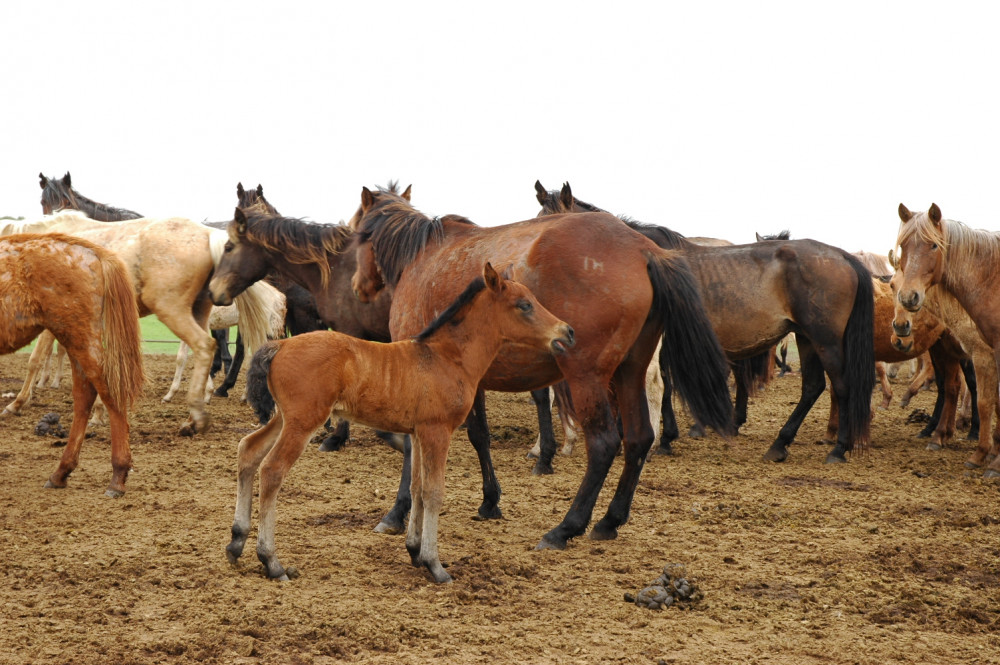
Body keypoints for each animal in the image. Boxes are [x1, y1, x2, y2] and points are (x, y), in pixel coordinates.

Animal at [0, 231, 145, 496]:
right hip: (74, 342)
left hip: (80, 339)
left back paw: (117, 477)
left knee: (109, 394)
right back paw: (61, 473)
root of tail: (92, 253)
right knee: (84, 397)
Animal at [1, 210, 276, 434]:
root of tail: (208, 234)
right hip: (198, 312)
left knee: (205, 347)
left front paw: (17, 403)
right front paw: (99, 411)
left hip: (171, 310)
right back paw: (192, 415)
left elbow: (35, 360)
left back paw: (196, 414)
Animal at [224, 262, 576, 580]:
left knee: (248, 450)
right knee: (272, 470)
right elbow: (434, 491)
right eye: (524, 305)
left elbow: (417, 487)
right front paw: (435, 565)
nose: (568, 332)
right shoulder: (438, 430)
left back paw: (236, 541)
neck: (447, 358)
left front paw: (415, 551)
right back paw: (271, 561)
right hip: (302, 421)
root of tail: (279, 344)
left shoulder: (418, 432)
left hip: (285, 417)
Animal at [352, 184, 736, 548]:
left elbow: (413, 448)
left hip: (587, 377)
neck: (423, 257)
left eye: (357, 234)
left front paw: (397, 512)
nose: (357, 286)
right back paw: (609, 521)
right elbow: (479, 436)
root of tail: (643, 249)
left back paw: (566, 528)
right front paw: (490, 501)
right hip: (629, 372)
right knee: (639, 438)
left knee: (604, 444)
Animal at [532, 180, 876, 462]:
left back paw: (838, 448)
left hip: (825, 339)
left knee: (840, 385)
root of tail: (843, 256)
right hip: (805, 336)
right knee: (813, 387)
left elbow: (660, 386)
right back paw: (780, 445)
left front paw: (660, 438)